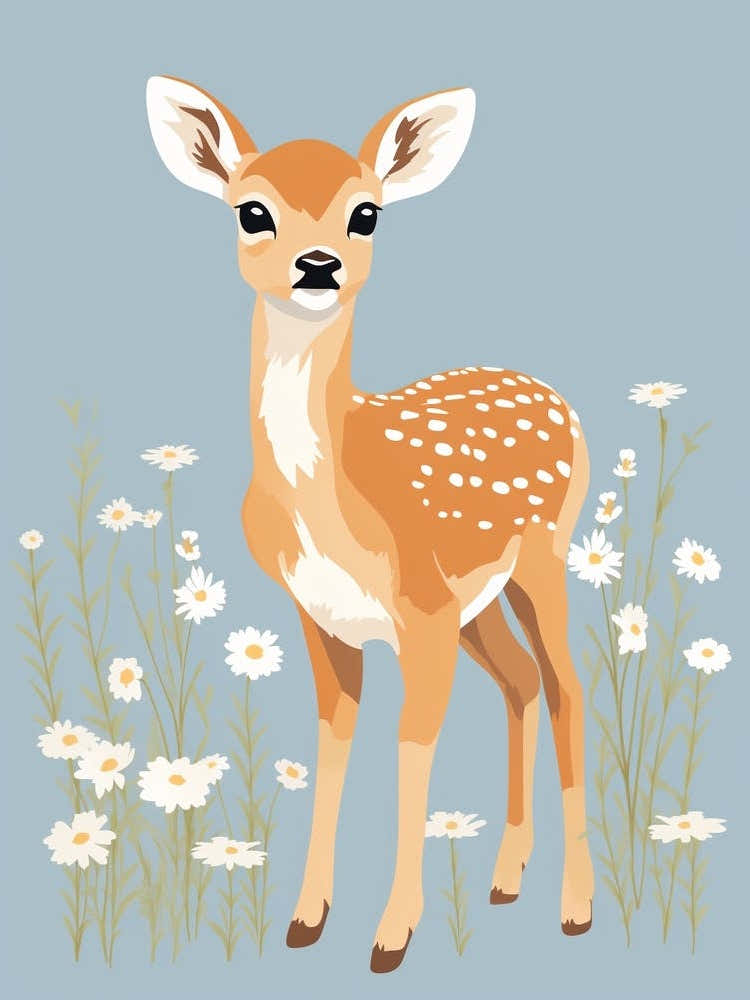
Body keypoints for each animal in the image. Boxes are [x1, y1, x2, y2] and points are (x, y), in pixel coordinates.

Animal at [146, 75, 594, 973]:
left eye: (366, 213)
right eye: (252, 211)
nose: (318, 265)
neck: (333, 503)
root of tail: (557, 398)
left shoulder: (420, 610)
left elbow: (411, 745)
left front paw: (392, 936)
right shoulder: (323, 615)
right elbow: (335, 739)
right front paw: (305, 920)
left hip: (542, 558)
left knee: (568, 687)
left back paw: (576, 907)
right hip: (477, 601)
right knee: (523, 682)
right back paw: (506, 879)